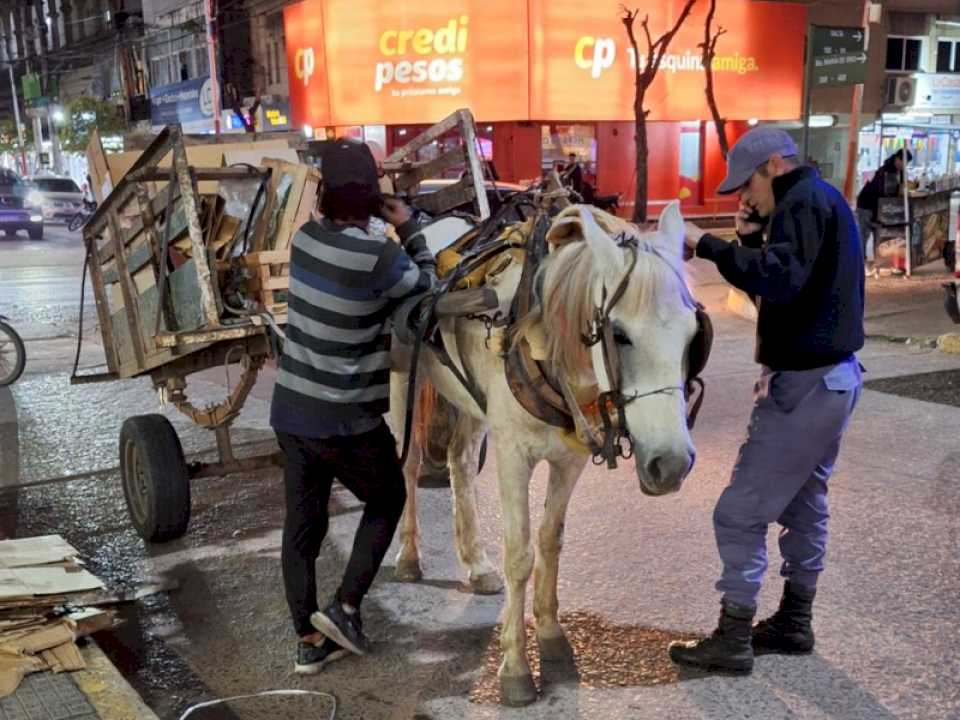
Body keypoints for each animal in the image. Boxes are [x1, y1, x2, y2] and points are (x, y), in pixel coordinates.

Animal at [390, 200, 696, 704]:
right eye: (619, 334)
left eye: (692, 335)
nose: (670, 466)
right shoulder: (513, 455)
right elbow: (520, 554)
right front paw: (515, 666)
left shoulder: (570, 460)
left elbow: (551, 541)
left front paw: (552, 638)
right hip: (403, 382)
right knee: (410, 467)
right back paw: (409, 557)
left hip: (470, 404)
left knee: (460, 462)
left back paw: (476, 563)